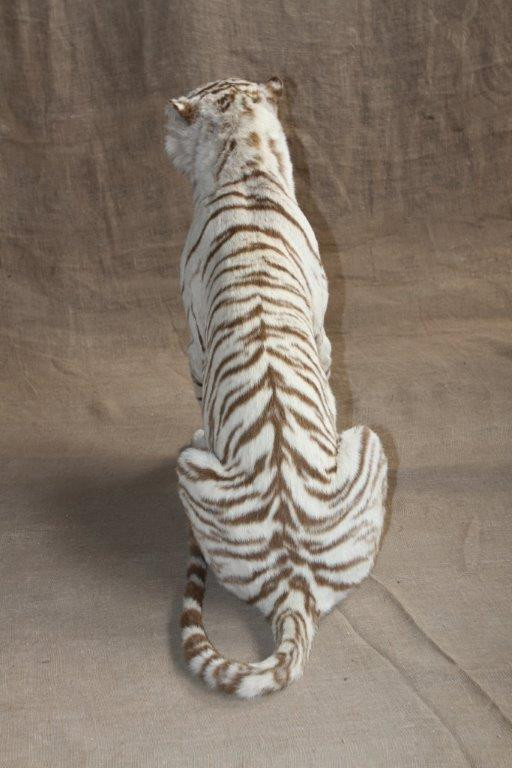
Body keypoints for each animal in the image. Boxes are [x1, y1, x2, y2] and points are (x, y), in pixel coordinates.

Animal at [165, 77, 388, 698]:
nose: (165, 127)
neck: (247, 170)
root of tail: (294, 582)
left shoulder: (195, 346)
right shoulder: (321, 327)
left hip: (191, 463)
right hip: (368, 442)